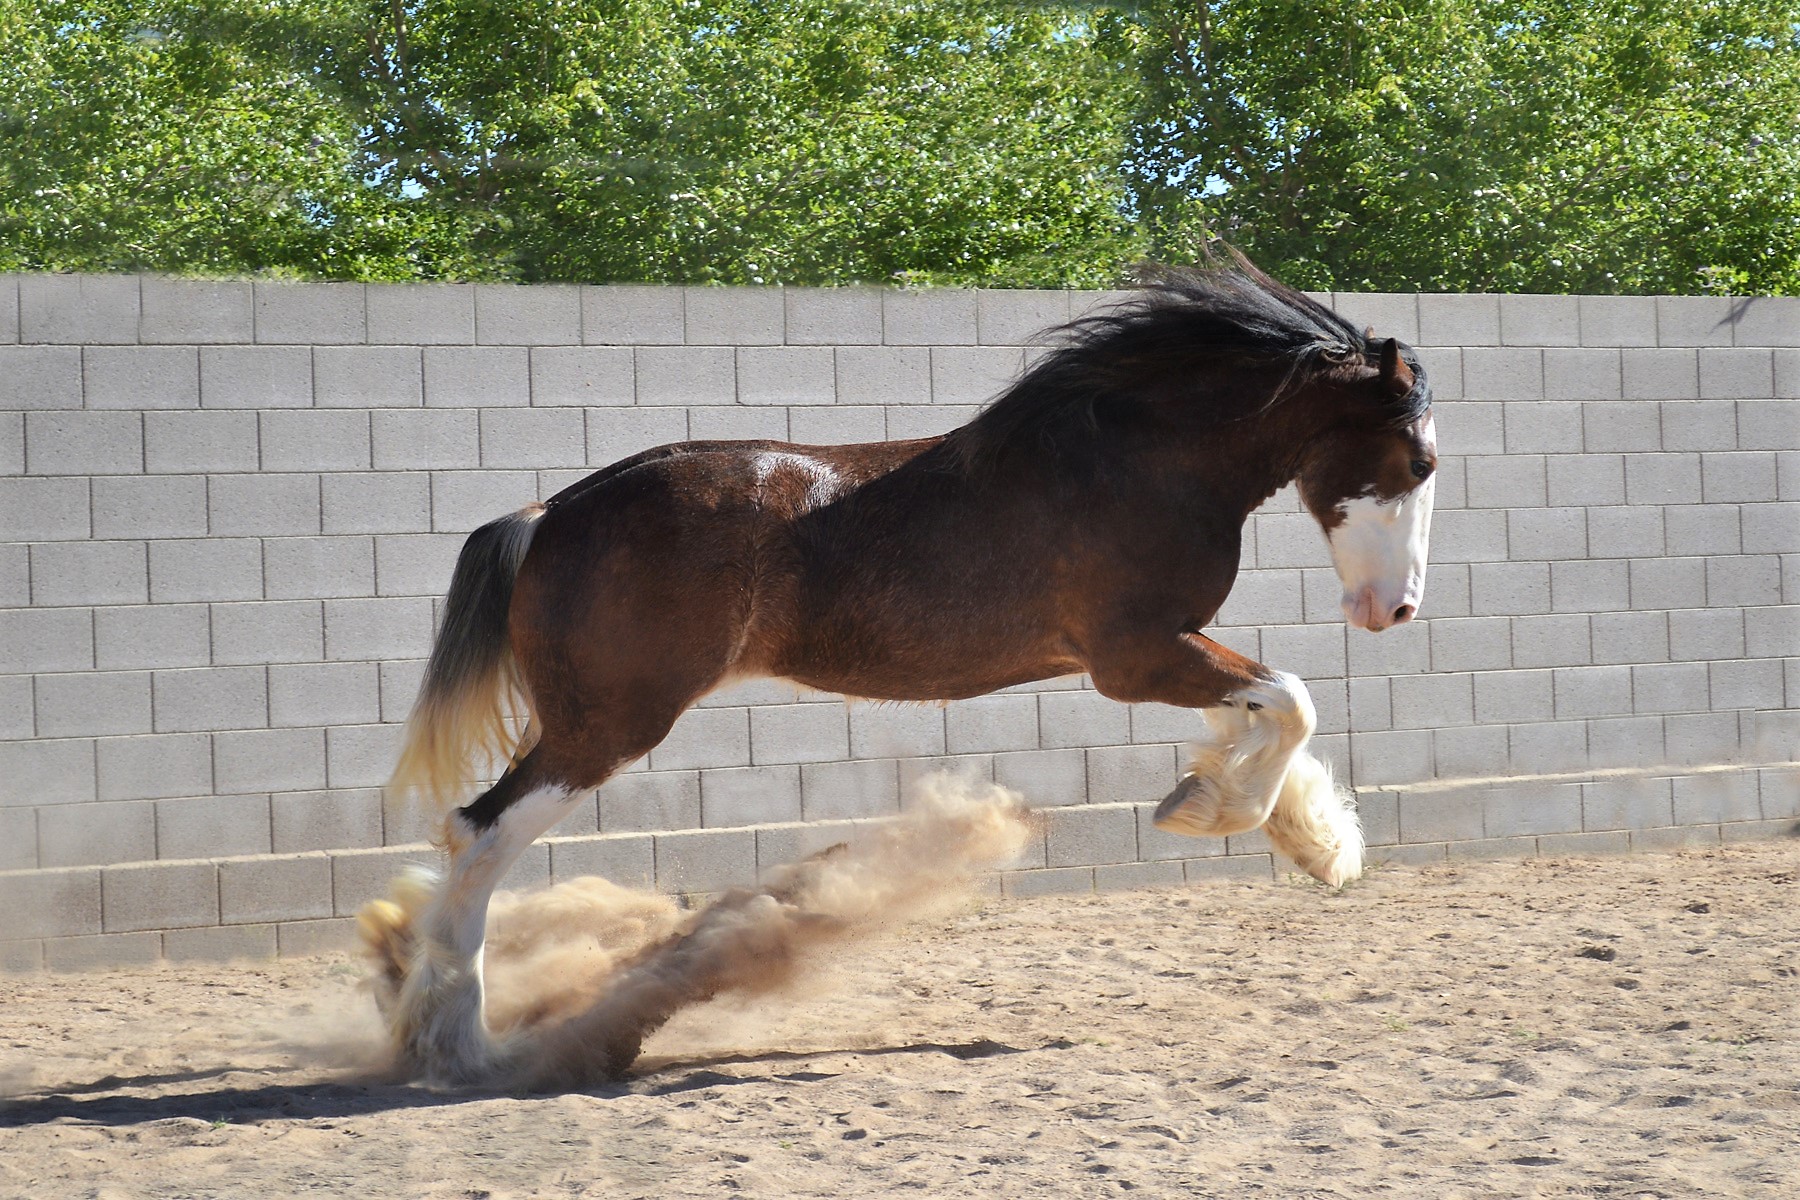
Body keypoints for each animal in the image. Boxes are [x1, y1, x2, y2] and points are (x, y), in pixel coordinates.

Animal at [362, 257, 1439, 1083]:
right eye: (1416, 463)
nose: (1393, 611)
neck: (1136, 461)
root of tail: (550, 514)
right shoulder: (1134, 656)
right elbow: (1289, 702)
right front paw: (1212, 815)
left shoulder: (1172, 649)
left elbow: (1260, 717)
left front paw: (1312, 843)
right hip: (609, 725)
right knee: (481, 834)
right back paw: (460, 1047)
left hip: (588, 721)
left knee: (471, 834)